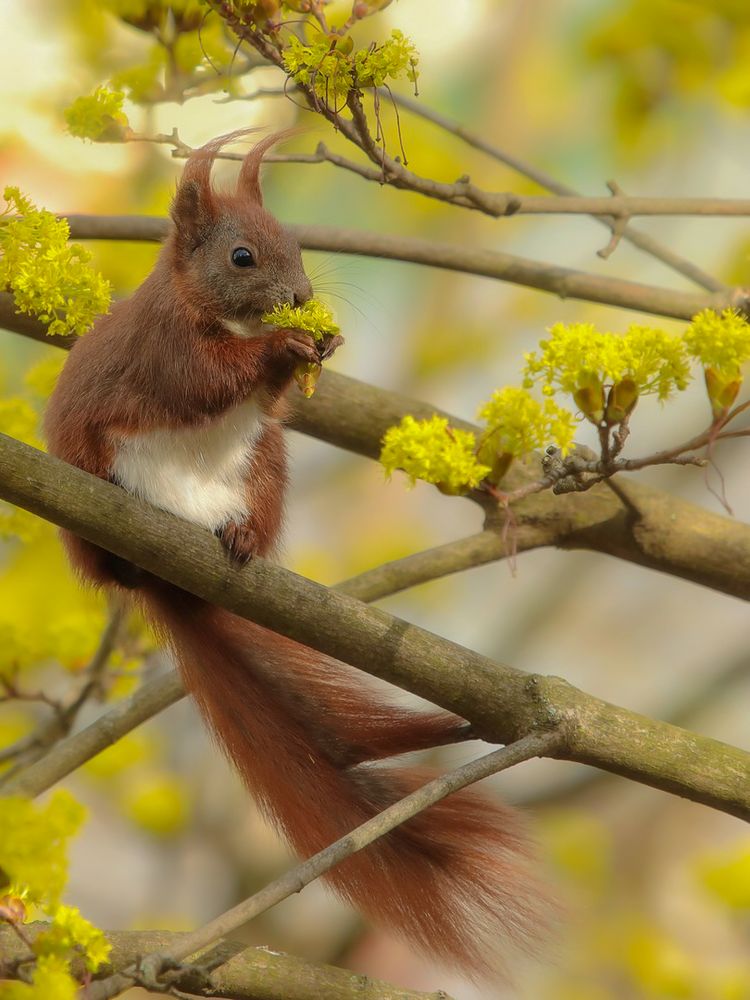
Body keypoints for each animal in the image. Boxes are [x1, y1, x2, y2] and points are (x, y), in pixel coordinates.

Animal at [47, 131, 548, 976]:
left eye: (299, 245)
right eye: (243, 256)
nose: (304, 293)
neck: (225, 319)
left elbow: (269, 400)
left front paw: (324, 343)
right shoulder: (164, 352)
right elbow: (201, 382)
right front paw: (285, 346)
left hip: (266, 469)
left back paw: (242, 538)